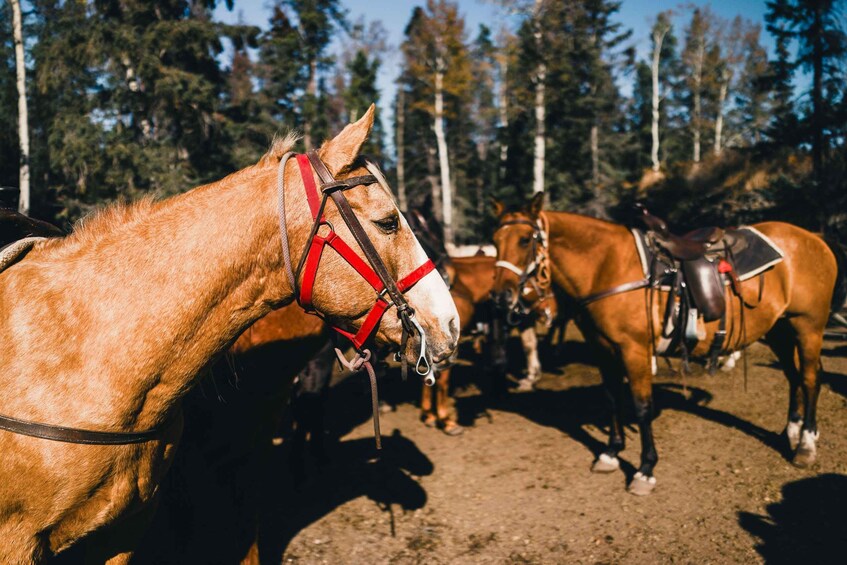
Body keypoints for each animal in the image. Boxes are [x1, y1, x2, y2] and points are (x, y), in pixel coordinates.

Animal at [491, 192, 841, 495]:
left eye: (525, 240)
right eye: (494, 242)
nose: (500, 296)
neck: (606, 266)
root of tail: (814, 238)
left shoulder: (634, 350)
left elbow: (642, 407)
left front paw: (645, 470)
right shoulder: (603, 349)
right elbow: (612, 399)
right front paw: (610, 453)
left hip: (808, 326)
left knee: (811, 378)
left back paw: (806, 445)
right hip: (779, 329)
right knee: (794, 377)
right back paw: (791, 432)